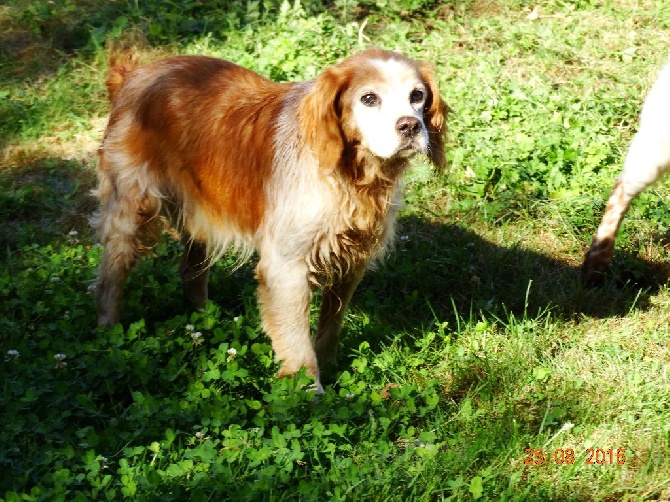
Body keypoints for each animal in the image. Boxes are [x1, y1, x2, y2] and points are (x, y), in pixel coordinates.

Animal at [92, 48, 448, 392]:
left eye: (417, 95)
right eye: (369, 98)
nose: (410, 126)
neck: (349, 174)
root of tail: (136, 74)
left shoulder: (352, 260)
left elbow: (330, 325)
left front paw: (330, 365)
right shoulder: (286, 268)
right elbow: (298, 346)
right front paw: (311, 394)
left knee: (190, 271)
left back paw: (205, 322)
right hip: (129, 211)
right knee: (111, 278)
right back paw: (107, 335)